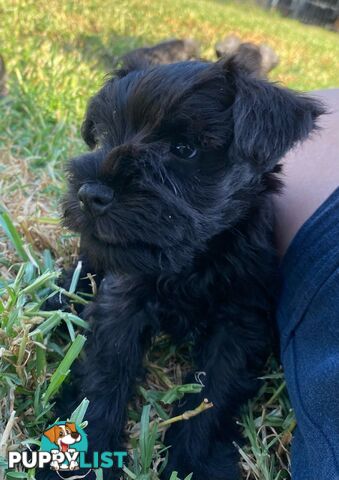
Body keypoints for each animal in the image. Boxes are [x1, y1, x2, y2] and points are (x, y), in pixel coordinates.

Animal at [57, 54, 322, 478]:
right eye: (107, 135)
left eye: (184, 149)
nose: (90, 194)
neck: (192, 261)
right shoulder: (123, 298)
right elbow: (105, 369)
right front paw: (87, 454)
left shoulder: (239, 323)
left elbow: (213, 394)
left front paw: (195, 461)